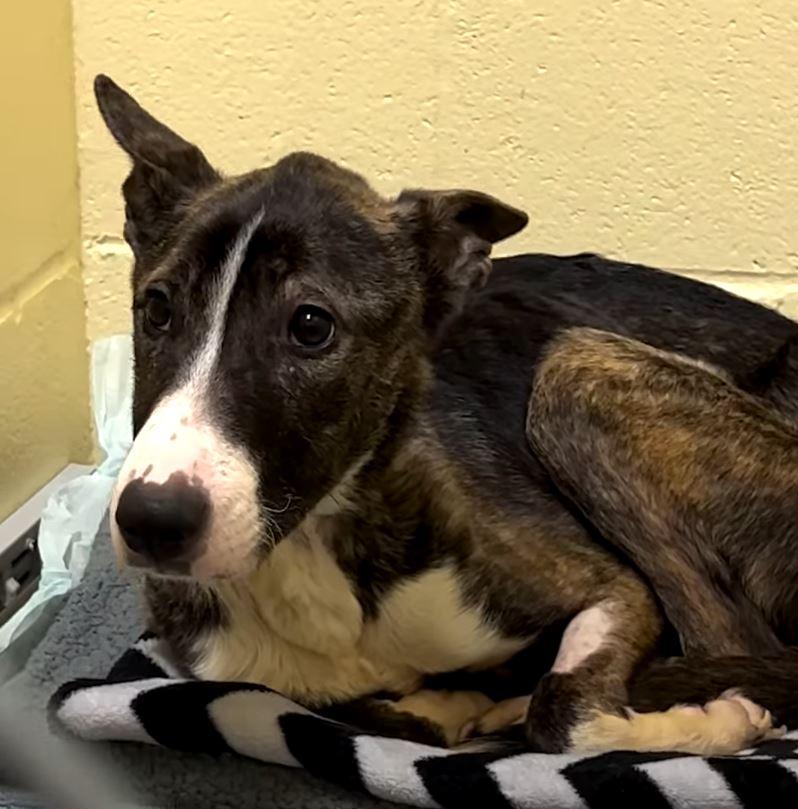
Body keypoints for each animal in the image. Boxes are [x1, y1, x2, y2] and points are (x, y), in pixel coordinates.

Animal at [95, 72, 798, 756]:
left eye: (311, 326)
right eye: (157, 308)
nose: (151, 522)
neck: (310, 549)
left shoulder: (615, 588)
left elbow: (563, 711)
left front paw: (717, 722)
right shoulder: (257, 682)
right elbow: (391, 717)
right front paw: (455, 704)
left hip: (576, 371)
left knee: (729, 643)